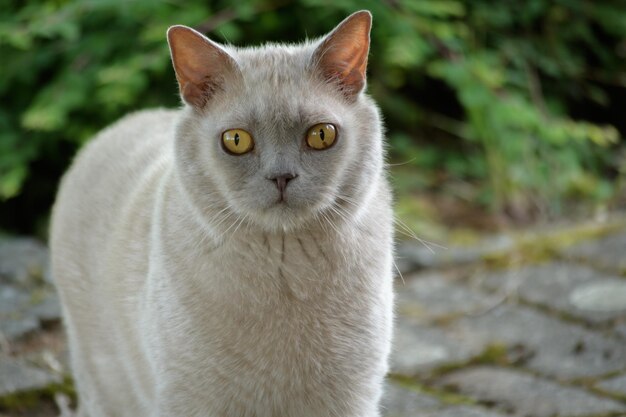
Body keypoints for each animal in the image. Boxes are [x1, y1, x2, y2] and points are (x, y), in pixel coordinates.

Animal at [50, 9, 390, 416]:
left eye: (321, 135)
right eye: (237, 141)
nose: (281, 177)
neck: (284, 272)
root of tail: (118, 125)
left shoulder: (350, 400)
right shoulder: (192, 402)